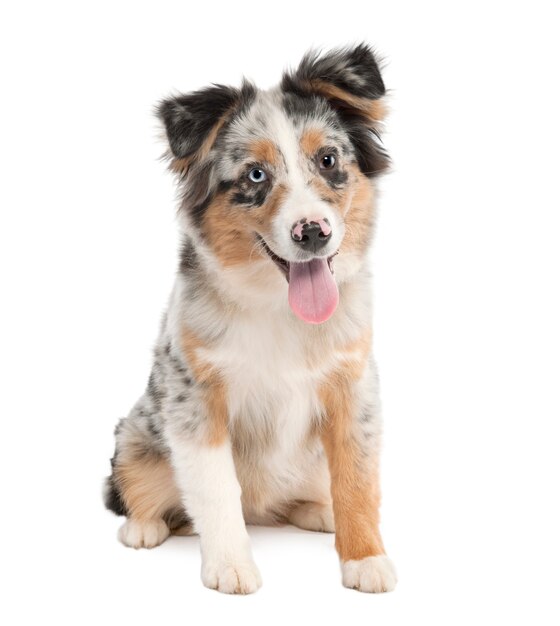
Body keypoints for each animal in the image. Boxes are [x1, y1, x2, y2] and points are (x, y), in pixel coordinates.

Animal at [103, 42, 396, 588]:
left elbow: (358, 478)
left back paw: (318, 511)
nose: (313, 231)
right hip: (135, 436)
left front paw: (365, 558)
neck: (279, 305)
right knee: (142, 485)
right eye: (255, 175)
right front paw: (230, 566)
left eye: (328, 159)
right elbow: (217, 487)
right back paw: (144, 526)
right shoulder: (195, 395)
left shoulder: (355, 386)